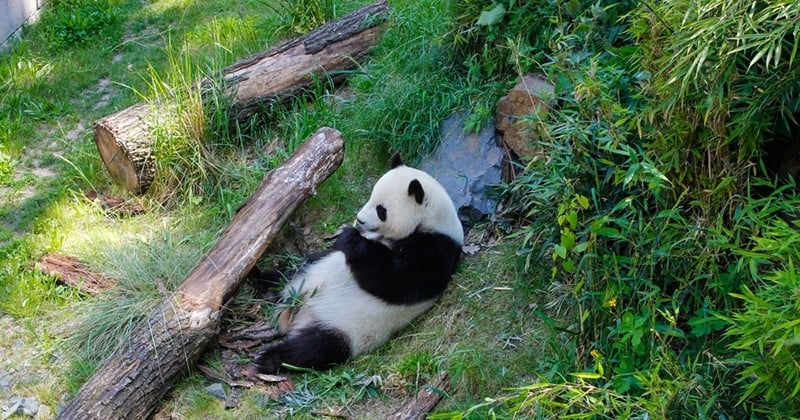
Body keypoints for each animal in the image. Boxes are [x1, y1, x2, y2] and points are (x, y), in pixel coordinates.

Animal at [250, 155, 462, 374]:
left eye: (381, 210)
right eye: (371, 196)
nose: (359, 219)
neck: (431, 222)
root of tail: (301, 315)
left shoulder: (434, 252)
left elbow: (393, 280)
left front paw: (348, 237)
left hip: (346, 330)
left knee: (311, 349)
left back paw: (268, 358)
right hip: (310, 273)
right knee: (289, 274)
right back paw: (259, 278)